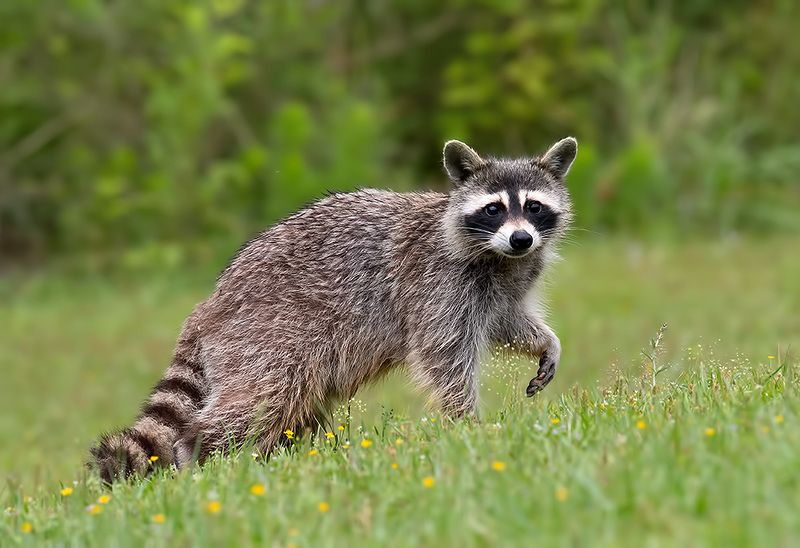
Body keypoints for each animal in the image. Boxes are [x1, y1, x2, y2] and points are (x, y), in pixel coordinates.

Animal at [90, 137, 577, 482]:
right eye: (494, 209)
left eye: (533, 206)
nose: (521, 239)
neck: (499, 256)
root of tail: (210, 306)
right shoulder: (435, 284)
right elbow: (445, 355)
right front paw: (467, 425)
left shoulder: (504, 285)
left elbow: (505, 322)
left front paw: (546, 342)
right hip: (267, 336)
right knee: (264, 397)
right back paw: (202, 450)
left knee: (288, 409)